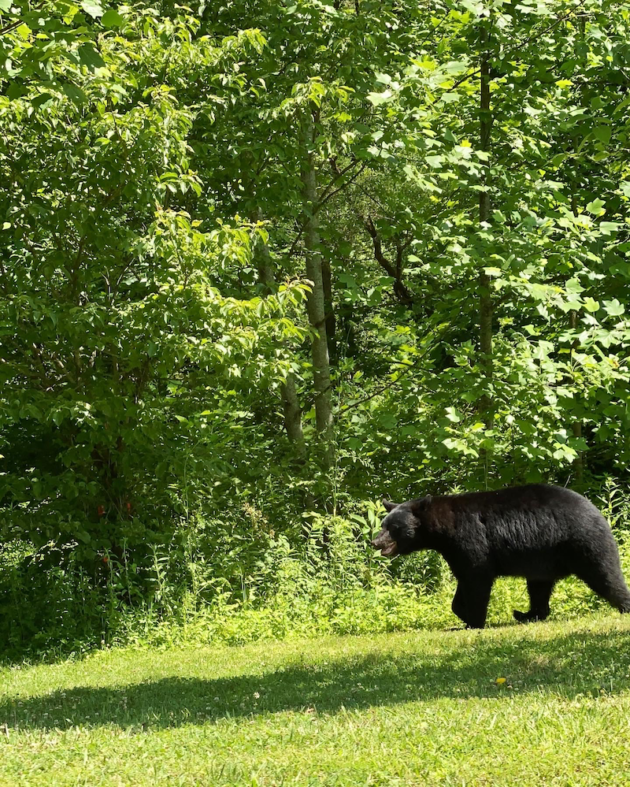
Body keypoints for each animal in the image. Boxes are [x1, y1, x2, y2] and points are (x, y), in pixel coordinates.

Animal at [372, 484, 630, 632]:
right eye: (384, 524)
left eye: (393, 527)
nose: (375, 542)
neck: (443, 529)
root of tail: (597, 511)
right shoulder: (456, 552)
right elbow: (464, 579)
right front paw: (462, 614)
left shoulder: (470, 539)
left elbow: (477, 580)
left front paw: (473, 622)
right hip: (542, 560)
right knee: (539, 589)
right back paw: (525, 614)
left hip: (582, 543)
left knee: (606, 576)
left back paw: (624, 606)